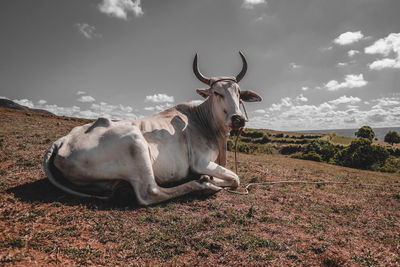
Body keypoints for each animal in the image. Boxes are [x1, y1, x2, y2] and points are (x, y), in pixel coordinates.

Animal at [43, 52, 262, 207]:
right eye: (217, 92)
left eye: (239, 93)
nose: (238, 119)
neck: (205, 123)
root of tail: (60, 142)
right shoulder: (200, 162)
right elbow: (235, 178)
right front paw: (208, 179)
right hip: (135, 143)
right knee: (151, 193)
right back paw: (203, 186)